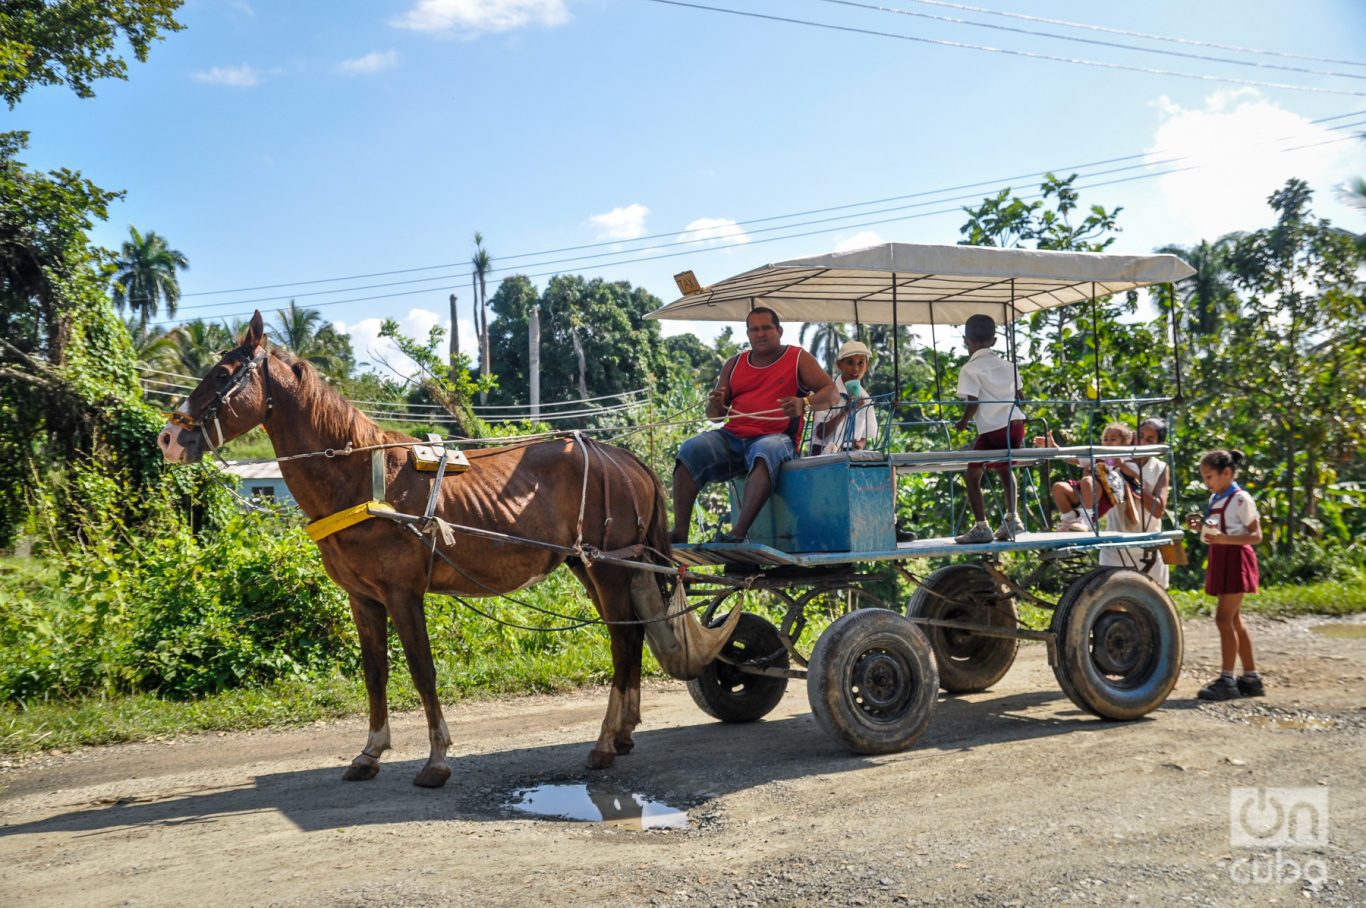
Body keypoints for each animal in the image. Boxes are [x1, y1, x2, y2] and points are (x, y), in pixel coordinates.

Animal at [158, 311, 737, 786]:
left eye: (222, 374)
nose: (168, 438)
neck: (363, 478)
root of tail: (625, 457)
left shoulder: (402, 592)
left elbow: (421, 669)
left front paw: (436, 760)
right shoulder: (362, 598)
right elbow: (375, 672)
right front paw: (370, 752)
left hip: (608, 569)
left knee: (622, 641)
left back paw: (602, 744)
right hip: (591, 567)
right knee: (632, 635)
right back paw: (622, 732)